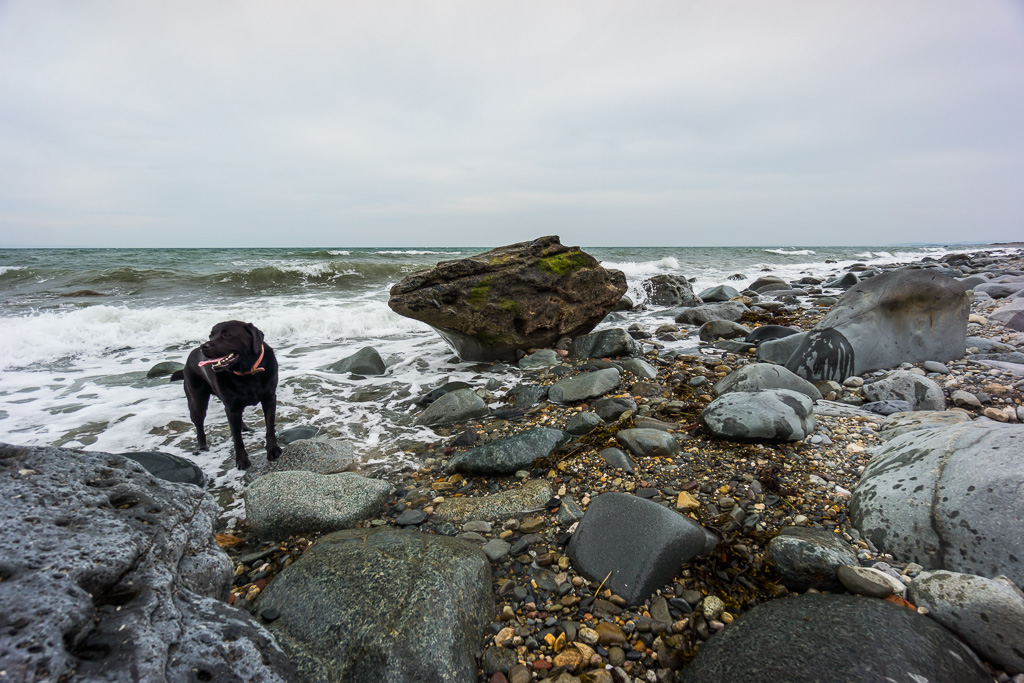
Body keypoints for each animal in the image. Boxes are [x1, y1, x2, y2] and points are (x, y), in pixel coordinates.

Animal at [172, 321, 282, 471]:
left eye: (227, 334)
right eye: (211, 335)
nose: (203, 347)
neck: (248, 372)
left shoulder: (269, 399)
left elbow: (270, 427)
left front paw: (273, 449)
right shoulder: (231, 407)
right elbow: (237, 439)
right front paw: (241, 460)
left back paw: (244, 428)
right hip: (196, 403)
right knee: (199, 427)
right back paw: (202, 447)